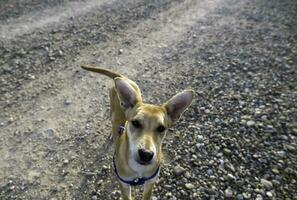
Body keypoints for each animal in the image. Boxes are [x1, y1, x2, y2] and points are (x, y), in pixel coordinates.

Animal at [81, 65, 193, 199]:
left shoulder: (150, 183)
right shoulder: (124, 185)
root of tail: (122, 77)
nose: (146, 154)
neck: (139, 170)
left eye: (161, 128)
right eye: (135, 123)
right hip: (112, 111)